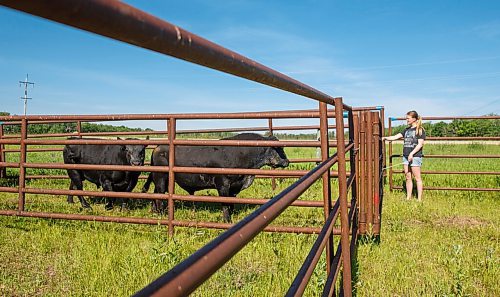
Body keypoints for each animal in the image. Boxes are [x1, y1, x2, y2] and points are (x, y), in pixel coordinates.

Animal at [141, 133, 290, 221]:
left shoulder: (235, 187)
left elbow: (231, 203)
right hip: (161, 177)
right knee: (159, 194)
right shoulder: (222, 184)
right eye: (278, 148)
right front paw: (227, 220)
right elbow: (225, 204)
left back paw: (155, 212)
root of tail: (158, 147)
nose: (287, 162)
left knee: (155, 193)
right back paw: (161, 213)